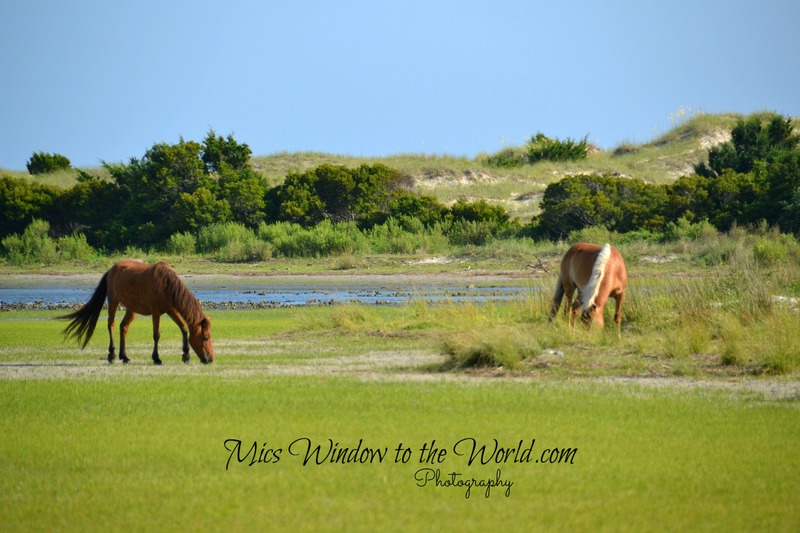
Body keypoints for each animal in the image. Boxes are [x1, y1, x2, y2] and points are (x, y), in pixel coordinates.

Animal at [61, 260, 214, 365]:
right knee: (111, 325)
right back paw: (112, 355)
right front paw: (156, 358)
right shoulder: (156, 312)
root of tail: (111, 270)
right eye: (205, 337)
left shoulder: (171, 310)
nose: (211, 359)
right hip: (113, 301)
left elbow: (183, 328)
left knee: (123, 327)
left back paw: (124, 356)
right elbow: (156, 335)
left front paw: (186, 356)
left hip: (132, 309)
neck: (166, 284)